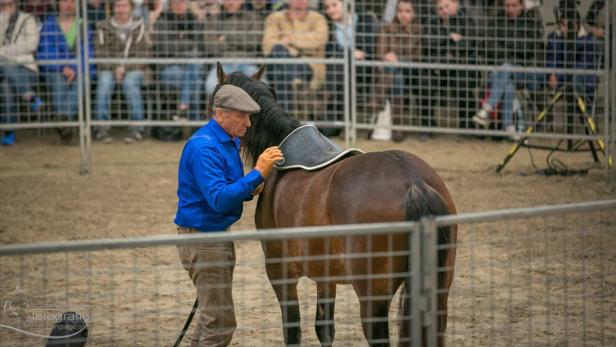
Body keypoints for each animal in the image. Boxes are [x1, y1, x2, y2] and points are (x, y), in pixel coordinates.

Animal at [212, 65, 458, 347]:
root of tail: (413, 181)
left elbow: (292, 330)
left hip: (373, 297)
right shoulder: (325, 273)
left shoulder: (279, 269)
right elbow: (324, 328)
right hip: (440, 291)